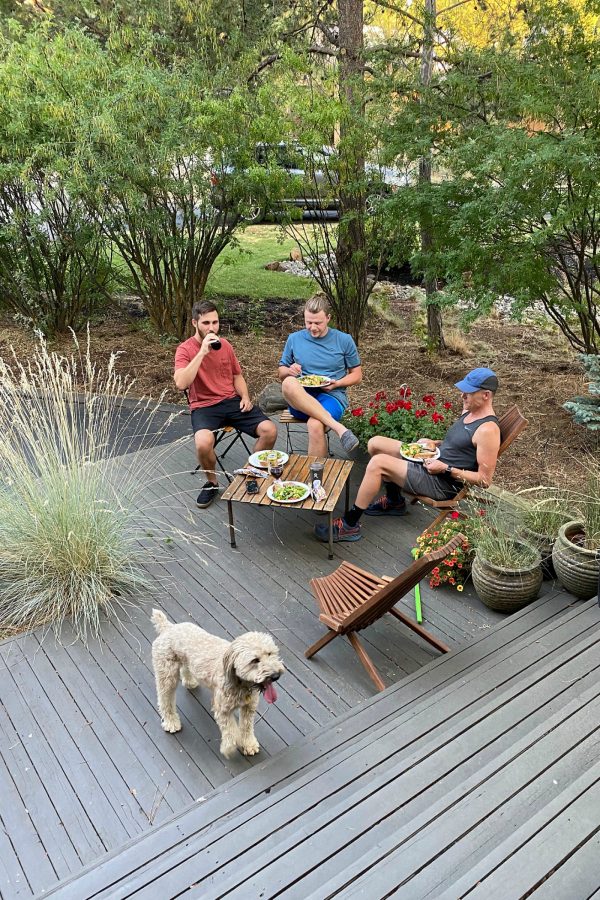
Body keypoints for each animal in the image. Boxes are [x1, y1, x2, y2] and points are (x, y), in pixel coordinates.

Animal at [149, 612, 282, 760]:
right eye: (255, 660)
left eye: (270, 653)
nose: (276, 675)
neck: (240, 682)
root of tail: (168, 627)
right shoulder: (222, 710)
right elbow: (231, 733)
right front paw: (229, 749)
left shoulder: (249, 707)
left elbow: (246, 728)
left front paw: (249, 744)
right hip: (167, 677)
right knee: (165, 701)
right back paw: (171, 722)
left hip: (185, 661)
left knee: (185, 669)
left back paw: (190, 682)